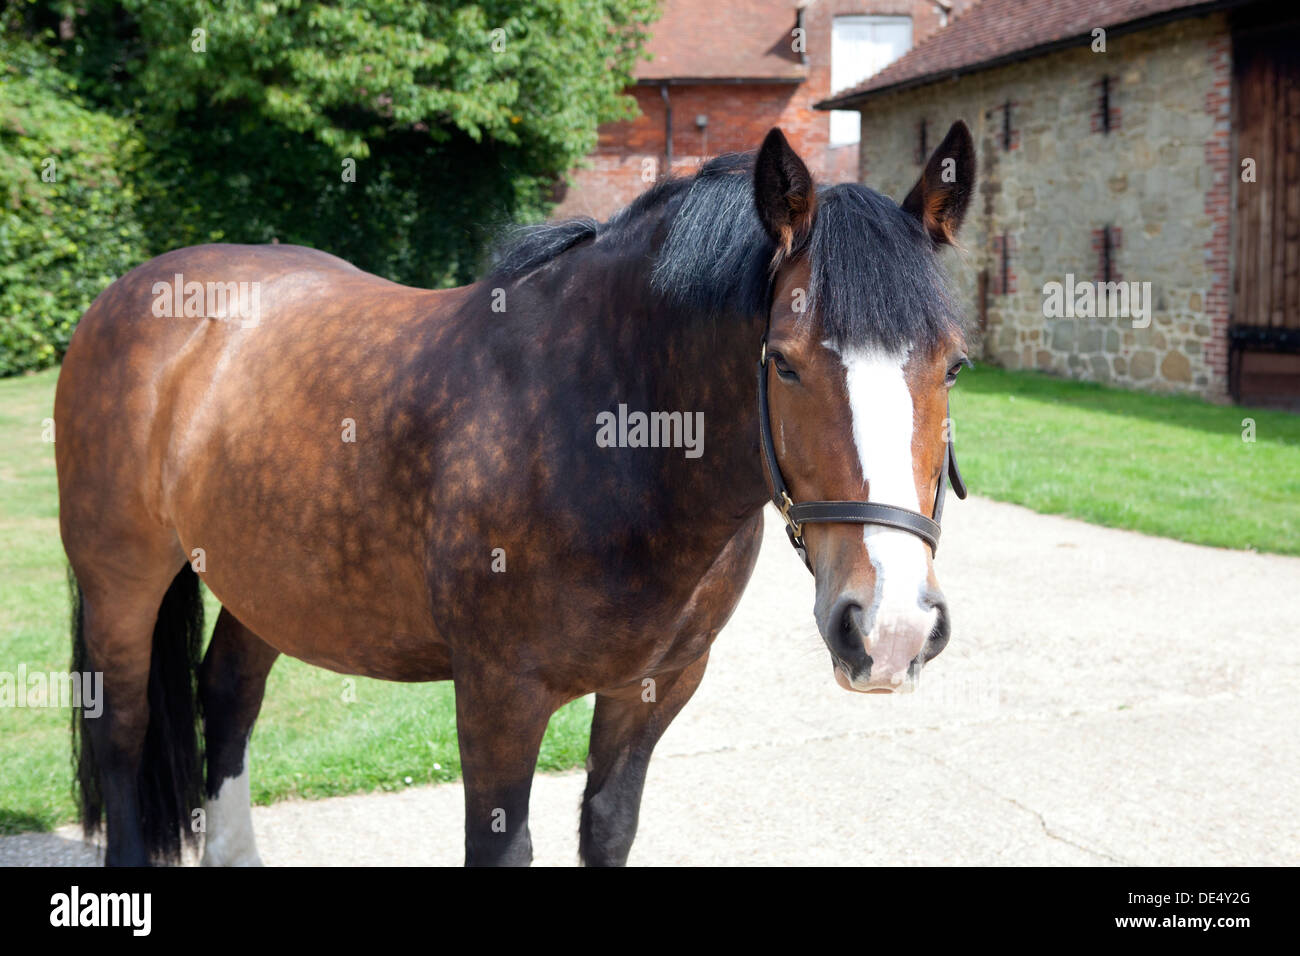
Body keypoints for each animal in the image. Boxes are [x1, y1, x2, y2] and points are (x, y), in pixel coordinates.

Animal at [61, 121, 977, 868]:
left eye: (955, 365)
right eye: (783, 362)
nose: (890, 628)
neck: (605, 431)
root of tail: (132, 294)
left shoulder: (657, 687)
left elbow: (609, 827)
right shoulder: (499, 696)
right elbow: (502, 846)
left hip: (266, 581)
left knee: (227, 697)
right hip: (120, 581)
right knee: (123, 728)